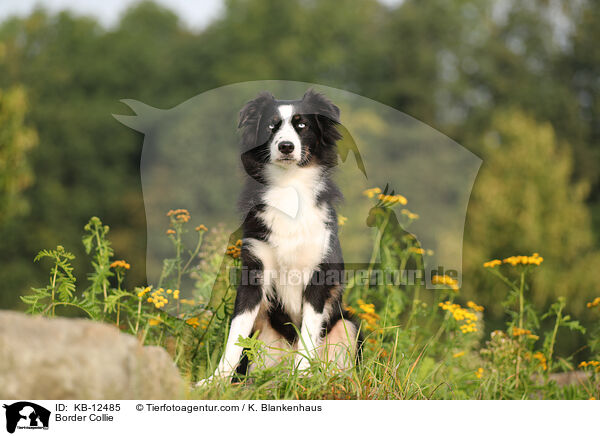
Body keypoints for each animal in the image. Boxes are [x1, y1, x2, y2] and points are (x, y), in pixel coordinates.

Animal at [212, 90, 358, 380]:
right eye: (271, 126)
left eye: (302, 125)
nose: (286, 147)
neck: (289, 186)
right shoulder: (254, 270)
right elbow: (236, 333)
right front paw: (213, 380)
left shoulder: (318, 274)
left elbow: (309, 335)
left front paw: (301, 377)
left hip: (347, 324)